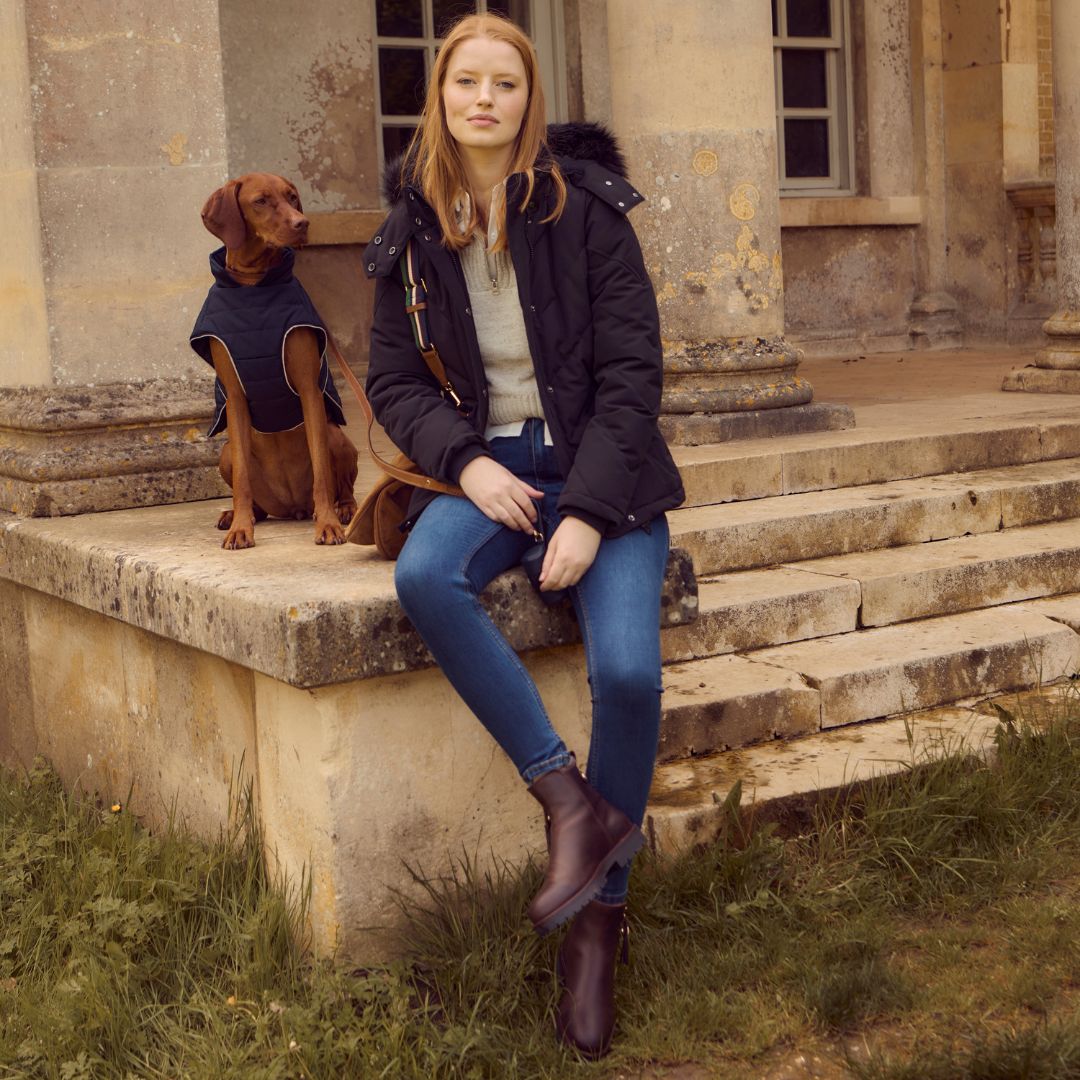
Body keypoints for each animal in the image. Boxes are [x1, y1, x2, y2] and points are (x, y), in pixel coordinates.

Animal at [191, 176, 358, 552]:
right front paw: (241, 529)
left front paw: (327, 524)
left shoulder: (309, 389)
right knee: (253, 497)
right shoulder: (235, 398)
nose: (302, 223)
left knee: (342, 486)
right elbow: (241, 480)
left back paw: (343, 509)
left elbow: (322, 472)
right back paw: (238, 516)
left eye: (292, 197)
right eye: (261, 201)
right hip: (225, 453)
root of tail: (292, 507)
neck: (254, 287)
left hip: (336, 437)